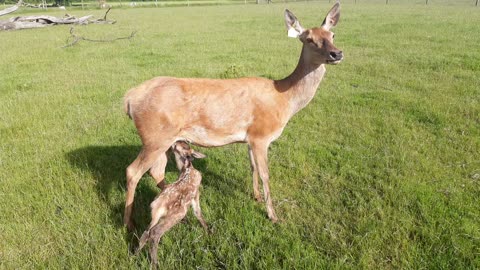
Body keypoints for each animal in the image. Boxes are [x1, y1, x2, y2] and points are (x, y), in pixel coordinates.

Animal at [124, 2, 342, 230]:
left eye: (332, 34)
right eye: (309, 39)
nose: (336, 53)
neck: (284, 99)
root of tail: (129, 98)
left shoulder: (250, 138)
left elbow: (252, 167)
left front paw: (255, 196)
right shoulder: (261, 135)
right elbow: (265, 174)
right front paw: (273, 215)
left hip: (164, 140)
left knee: (156, 171)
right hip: (155, 137)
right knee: (133, 171)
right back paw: (129, 223)